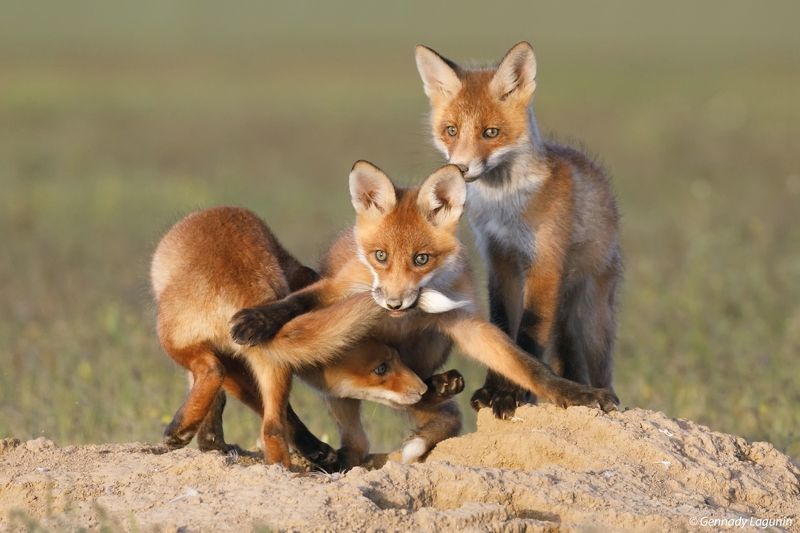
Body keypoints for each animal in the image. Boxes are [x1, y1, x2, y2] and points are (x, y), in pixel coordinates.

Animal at [151, 206, 463, 470]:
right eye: (381, 368)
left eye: (394, 361)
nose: (420, 389)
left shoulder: (235, 361)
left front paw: (208, 442)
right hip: (268, 364)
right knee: (272, 428)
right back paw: (281, 471)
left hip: (174, 340)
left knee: (214, 373)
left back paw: (180, 432)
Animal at [230, 161, 618, 464]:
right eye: (380, 256)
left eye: (421, 259)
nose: (394, 303)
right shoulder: (338, 290)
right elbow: (296, 302)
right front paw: (257, 320)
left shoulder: (465, 321)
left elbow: (527, 366)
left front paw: (577, 394)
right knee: (364, 430)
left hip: (432, 344)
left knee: (419, 391)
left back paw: (438, 385)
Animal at [414, 42, 623, 419]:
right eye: (451, 130)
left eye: (490, 133)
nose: (460, 168)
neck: (505, 207)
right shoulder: (501, 259)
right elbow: (502, 327)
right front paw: (494, 389)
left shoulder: (545, 260)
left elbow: (528, 333)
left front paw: (512, 395)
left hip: (592, 319)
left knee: (601, 369)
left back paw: (606, 395)